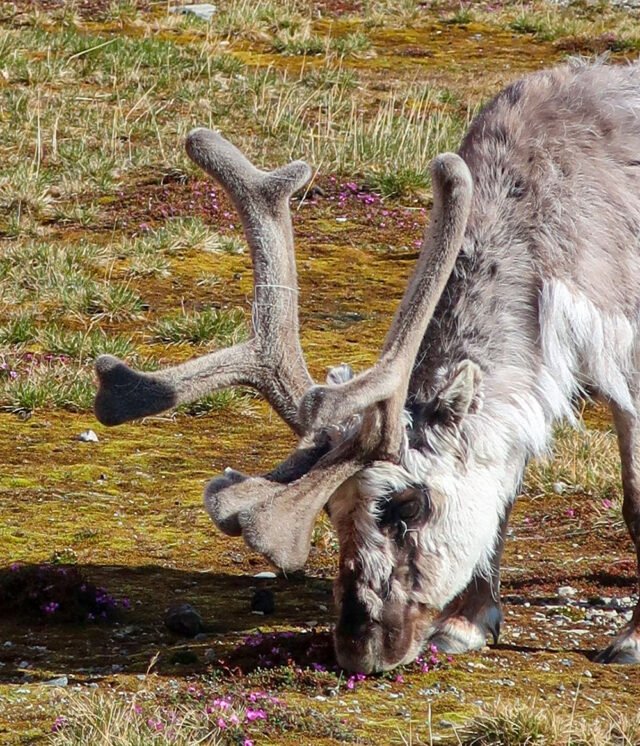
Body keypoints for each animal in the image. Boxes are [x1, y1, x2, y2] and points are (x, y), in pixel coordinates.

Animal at [93, 60, 640, 673]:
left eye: (409, 504)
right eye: (331, 512)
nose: (360, 648)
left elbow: (635, 503)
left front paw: (631, 638)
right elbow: (502, 483)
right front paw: (469, 621)